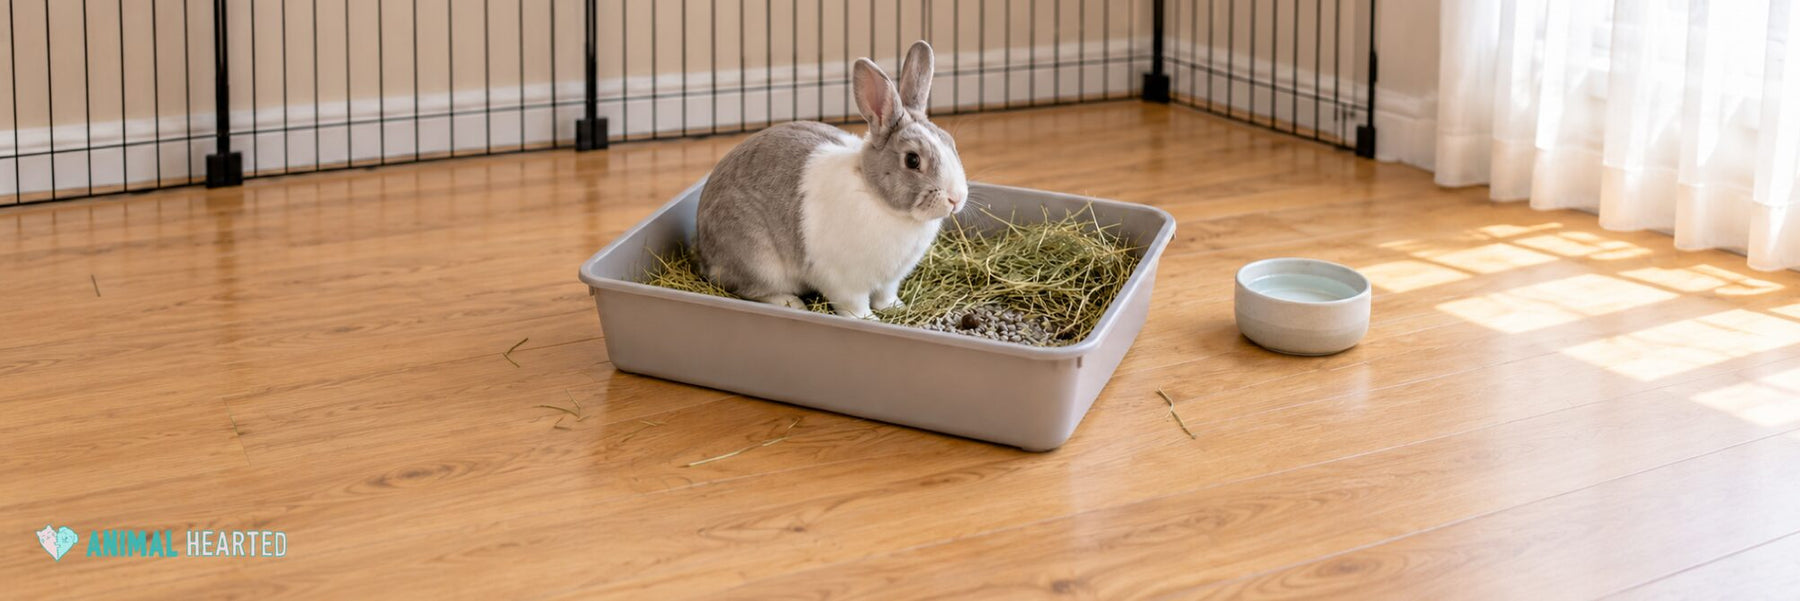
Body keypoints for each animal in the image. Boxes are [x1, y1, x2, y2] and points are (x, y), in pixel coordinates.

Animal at [694, 40, 967, 319]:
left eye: (951, 143)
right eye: (912, 160)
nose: (956, 199)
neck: (878, 199)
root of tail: (704, 252)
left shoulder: (890, 280)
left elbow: (885, 296)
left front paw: (894, 308)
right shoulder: (845, 282)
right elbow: (854, 305)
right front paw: (867, 319)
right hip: (758, 260)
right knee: (752, 289)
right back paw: (791, 303)